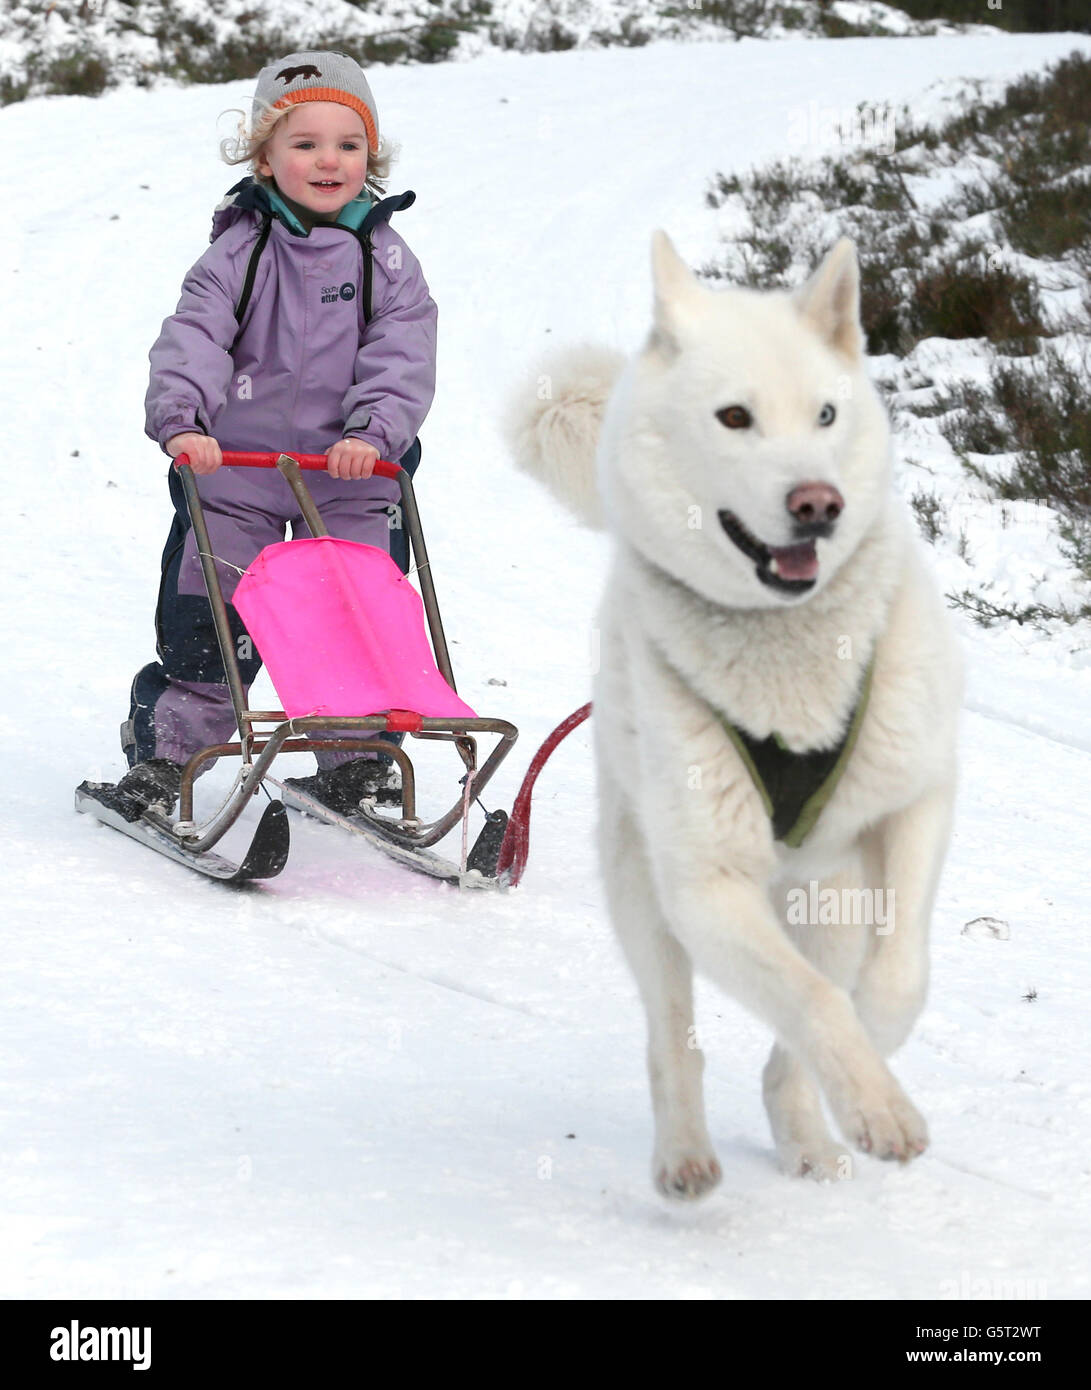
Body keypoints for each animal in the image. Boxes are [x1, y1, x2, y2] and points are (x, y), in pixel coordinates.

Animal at [505, 236, 956, 1195]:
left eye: (824, 413)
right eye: (734, 417)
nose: (817, 504)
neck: (791, 667)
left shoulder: (917, 799)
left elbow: (891, 982)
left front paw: (872, 1072)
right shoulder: (705, 888)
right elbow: (813, 1003)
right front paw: (878, 1102)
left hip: (829, 896)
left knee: (796, 1027)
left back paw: (807, 1133)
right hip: (645, 889)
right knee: (672, 1032)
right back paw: (684, 1153)